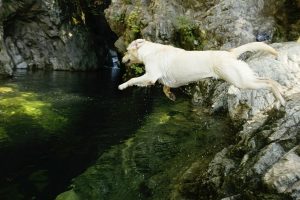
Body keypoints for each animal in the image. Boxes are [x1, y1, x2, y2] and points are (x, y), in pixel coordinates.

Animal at [118, 38, 284, 105]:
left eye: (126, 50)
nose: (121, 59)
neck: (149, 51)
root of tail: (229, 53)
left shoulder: (150, 76)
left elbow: (133, 80)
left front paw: (122, 85)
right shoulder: (165, 80)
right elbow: (165, 87)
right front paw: (171, 95)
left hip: (240, 80)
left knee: (268, 83)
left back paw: (280, 98)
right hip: (244, 77)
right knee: (269, 80)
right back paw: (281, 93)